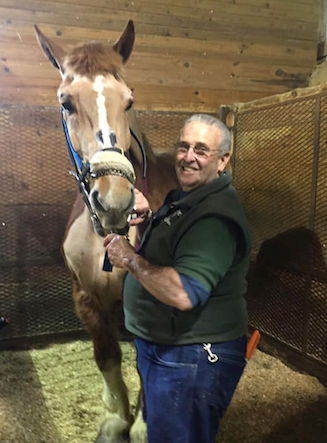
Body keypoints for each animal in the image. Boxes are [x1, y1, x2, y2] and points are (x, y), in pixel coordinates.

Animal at [34, 20, 178, 443]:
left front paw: (144, 424)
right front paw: (116, 417)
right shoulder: (86, 298)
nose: (114, 201)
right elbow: (107, 357)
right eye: (66, 102)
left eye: (128, 101)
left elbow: (148, 366)